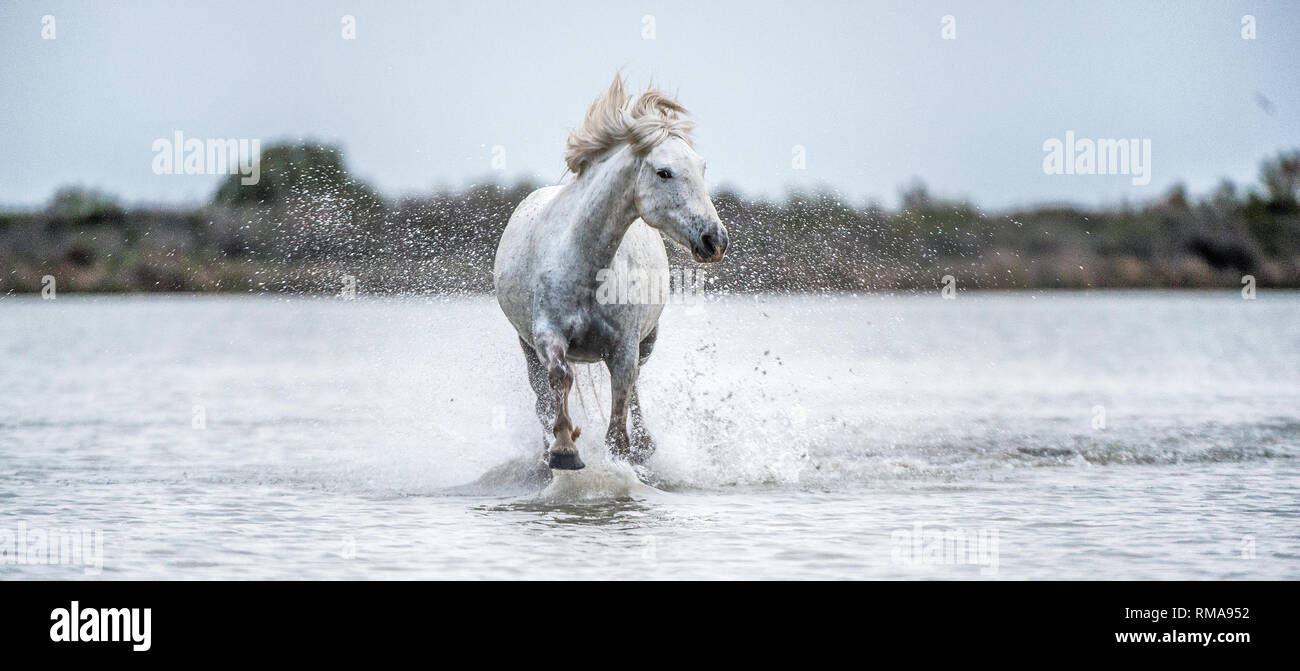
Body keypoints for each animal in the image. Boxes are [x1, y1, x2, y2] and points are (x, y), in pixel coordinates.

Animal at [493, 76, 729, 470]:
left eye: (702, 168)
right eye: (664, 172)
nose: (715, 240)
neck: (584, 264)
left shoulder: (624, 347)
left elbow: (620, 408)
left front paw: (623, 459)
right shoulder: (546, 336)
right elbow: (560, 380)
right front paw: (564, 451)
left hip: (648, 340)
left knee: (635, 388)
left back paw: (646, 446)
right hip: (525, 345)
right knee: (540, 395)